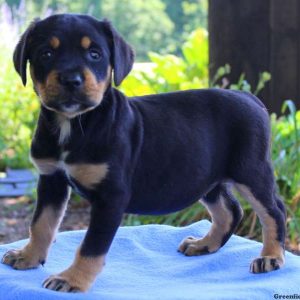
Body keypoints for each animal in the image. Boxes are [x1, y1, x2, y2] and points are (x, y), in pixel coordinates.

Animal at [0, 14, 286, 292]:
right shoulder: (51, 180)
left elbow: (92, 245)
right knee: (230, 211)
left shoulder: (111, 196)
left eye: (95, 54)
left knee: (274, 211)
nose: (71, 80)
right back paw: (204, 244)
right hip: (206, 178)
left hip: (251, 171)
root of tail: (250, 98)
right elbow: (41, 224)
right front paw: (29, 256)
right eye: (46, 53)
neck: (74, 125)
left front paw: (72, 279)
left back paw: (270, 257)